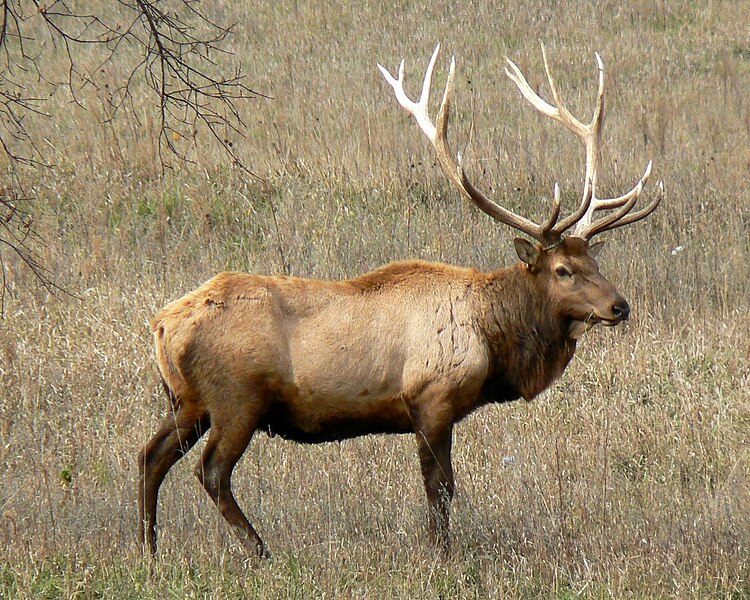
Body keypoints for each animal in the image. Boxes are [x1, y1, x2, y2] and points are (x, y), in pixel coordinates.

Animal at [138, 45, 660, 556]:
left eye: (594, 261)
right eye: (562, 270)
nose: (620, 306)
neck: (493, 340)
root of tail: (162, 325)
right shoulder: (431, 399)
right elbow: (440, 487)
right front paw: (441, 555)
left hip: (188, 400)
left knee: (150, 456)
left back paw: (149, 549)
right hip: (236, 398)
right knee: (210, 471)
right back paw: (260, 551)